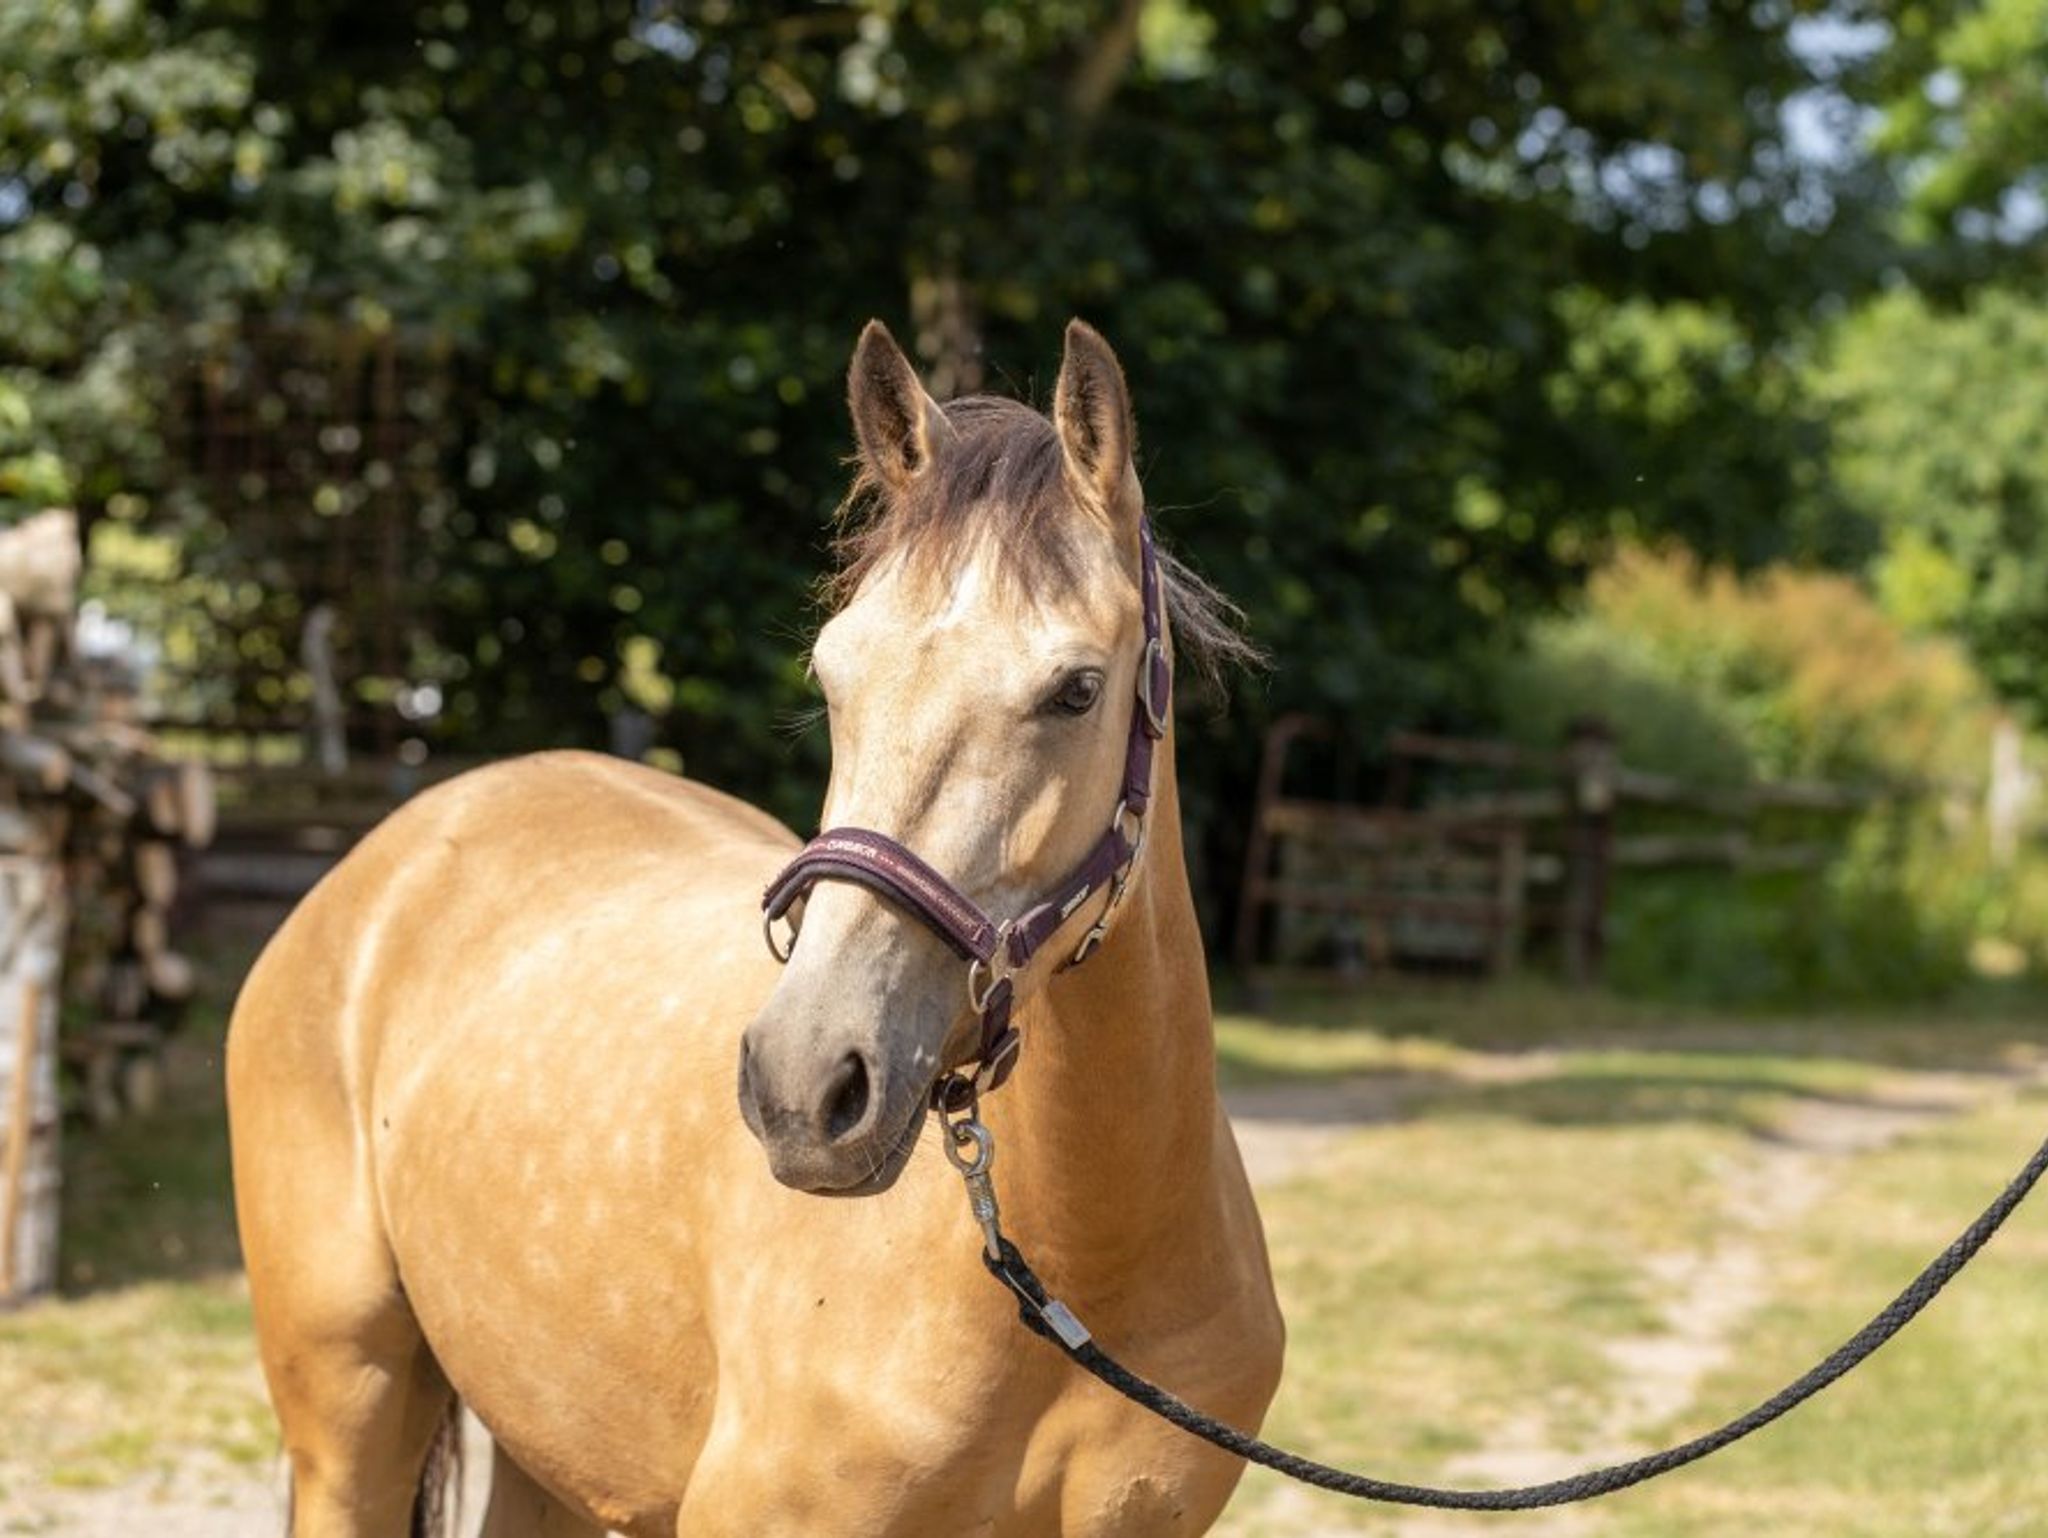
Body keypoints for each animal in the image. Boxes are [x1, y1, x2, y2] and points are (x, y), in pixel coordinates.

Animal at [224, 319, 1277, 1531]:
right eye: (831, 675)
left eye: (1075, 690)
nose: (803, 1086)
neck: (1079, 1267)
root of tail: (382, 857)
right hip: (346, 1415)